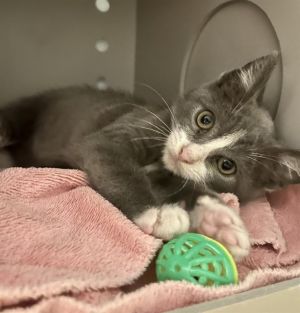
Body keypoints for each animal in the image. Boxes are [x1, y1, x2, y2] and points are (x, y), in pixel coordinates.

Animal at [0, 52, 298, 260]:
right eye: (205, 119)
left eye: (227, 165)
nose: (185, 153)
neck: (160, 159)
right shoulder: (114, 135)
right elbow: (117, 166)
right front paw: (157, 214)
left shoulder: (172, 174)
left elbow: (185, 186)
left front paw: (219, 222)